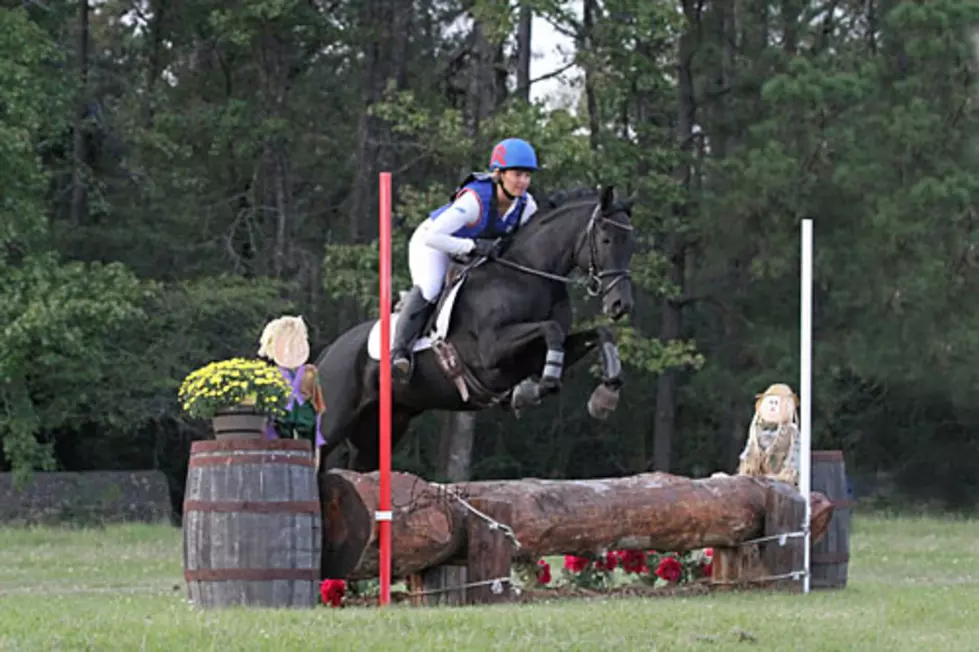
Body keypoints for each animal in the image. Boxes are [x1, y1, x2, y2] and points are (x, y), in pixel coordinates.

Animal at [312, 186, 636, 472]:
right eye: (606, 239)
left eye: (631, 244)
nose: (621, 304)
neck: (526, 277)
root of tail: (328, 353)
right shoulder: (490, 353)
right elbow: (551, 329)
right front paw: (536, 388)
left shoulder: (531, 356)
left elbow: (597, 334)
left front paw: (606, 395)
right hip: (333, 422)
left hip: (380, 429)